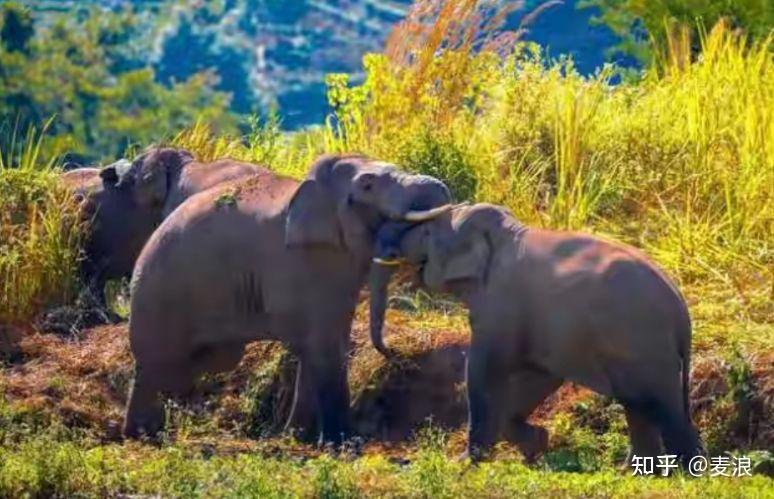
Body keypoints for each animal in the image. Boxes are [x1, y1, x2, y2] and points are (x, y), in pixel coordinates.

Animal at [123, 154, 454, 444]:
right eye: (368, 185)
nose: (396, 354)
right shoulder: (302, 261)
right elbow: (320, 343)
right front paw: (342, 444)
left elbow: (324, 341)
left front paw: (297, 437)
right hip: (158, 291)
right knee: (155, 364)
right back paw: (141, 436)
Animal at [378, 202, 708, 464]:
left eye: (427, 234)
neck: (505, 232)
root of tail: (681, 308)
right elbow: (542, 375)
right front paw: (536, 446)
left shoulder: (501, 302)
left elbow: (483, 370)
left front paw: (465, 463)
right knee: (638, 404)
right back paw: (637, 471)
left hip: (644, 344)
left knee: (660, 406)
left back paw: (687, 473)